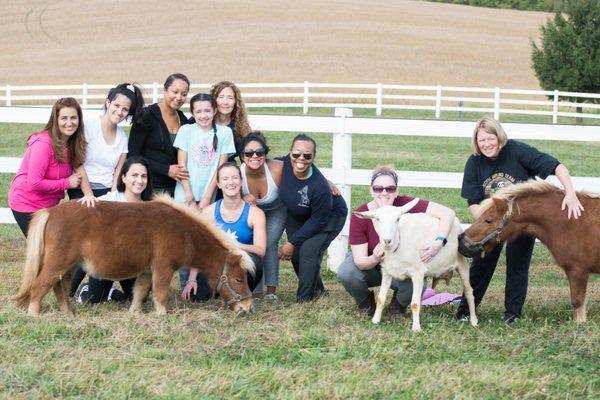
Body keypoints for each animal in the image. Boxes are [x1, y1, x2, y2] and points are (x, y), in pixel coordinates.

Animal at [11, 195, 255, 318]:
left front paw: (135, 313)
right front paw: (162, 316)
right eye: (239, 279)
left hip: (69, 267)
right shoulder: (163, 268)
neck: (183, 230)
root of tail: (50, 212)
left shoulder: (147, 271)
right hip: (58, 263)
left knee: (60, 288)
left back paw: (68, 314)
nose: (247, 307)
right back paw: (34, 315)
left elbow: (140, 291)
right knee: (39, 286)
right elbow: (160, 293)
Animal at [356, 200, 478, 332]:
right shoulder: (387, 272)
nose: (387, 240)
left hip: (462, 263)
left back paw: (473, 321)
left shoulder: (417, 273)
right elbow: (380, 299)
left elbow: (414, 304)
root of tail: (458, 223)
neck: (398, 246)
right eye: (377, 219)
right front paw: (375, 320)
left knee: (469, 292)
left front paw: (416, 328)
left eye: (398, 219)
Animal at [458, 180, 596, 324]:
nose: (461, 241)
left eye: (488, 220)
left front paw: (579, 324)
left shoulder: (577, 270)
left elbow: (577, 302)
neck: (568, 222)